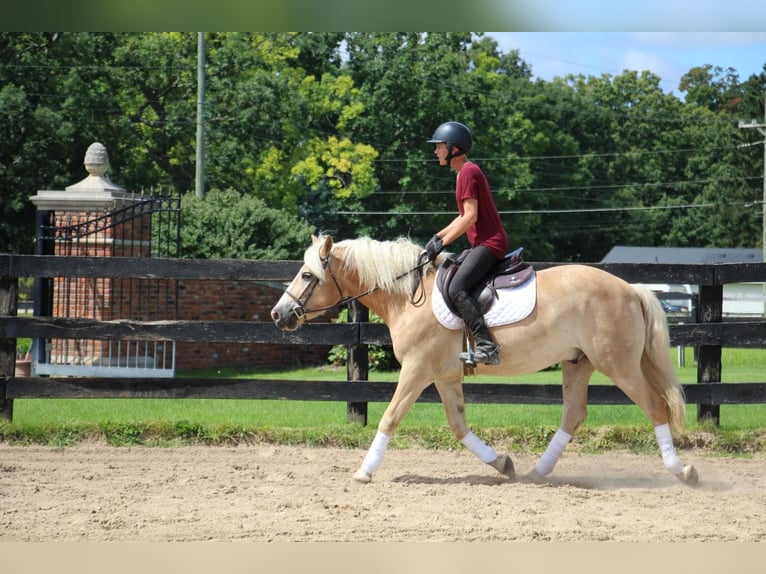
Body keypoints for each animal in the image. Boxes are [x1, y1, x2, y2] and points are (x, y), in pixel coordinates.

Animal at [272, 236, 704, 488]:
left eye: (307, 274)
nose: (279, 315)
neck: (407, 296)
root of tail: (630, 288)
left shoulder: (417, 370)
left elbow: (390, 417)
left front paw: (364, 470)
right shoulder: (444, 375)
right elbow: (458, 426)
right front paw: (501, 463)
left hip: (618, 364)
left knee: (655, 406)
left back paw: (682, 470)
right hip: (577, 363)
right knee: (574, 415)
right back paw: (537, 472)